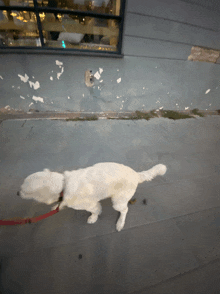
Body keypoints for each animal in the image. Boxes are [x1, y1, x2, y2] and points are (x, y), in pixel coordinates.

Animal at [19, 162, 167, 231]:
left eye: (26, 191)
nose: (17, 193)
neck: (64, 185)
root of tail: (136, 174)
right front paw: (57, 205)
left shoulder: (91, 204)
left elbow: (95, 211)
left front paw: (93, 218)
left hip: (118, 202)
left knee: (125, 210)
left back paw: (120, 223)